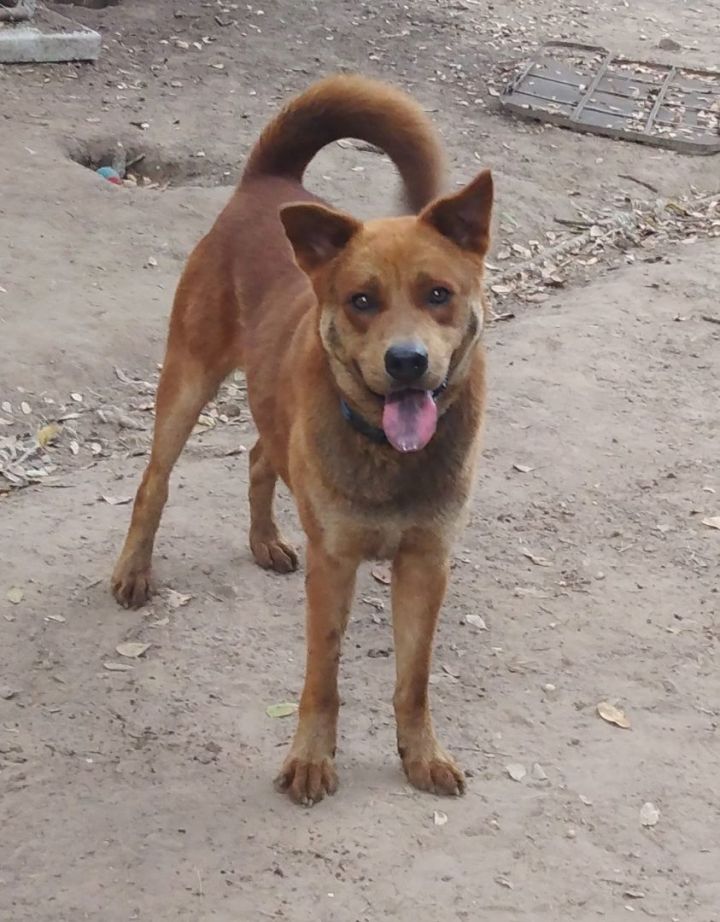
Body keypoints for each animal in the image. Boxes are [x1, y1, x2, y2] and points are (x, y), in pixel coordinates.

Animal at [111, 75, 496, 800]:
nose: (407, 362)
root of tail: (270, 181)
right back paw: (132, 571)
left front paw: (421, 753)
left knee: (261, 455)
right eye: (361, 300)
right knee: (154, 482)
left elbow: (414, 681)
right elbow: (323, 678)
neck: (385, 451)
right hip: (188, 379)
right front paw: (313, 758)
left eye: (438, 294)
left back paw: (264, 539)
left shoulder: (427, 563)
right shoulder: (334, 563)